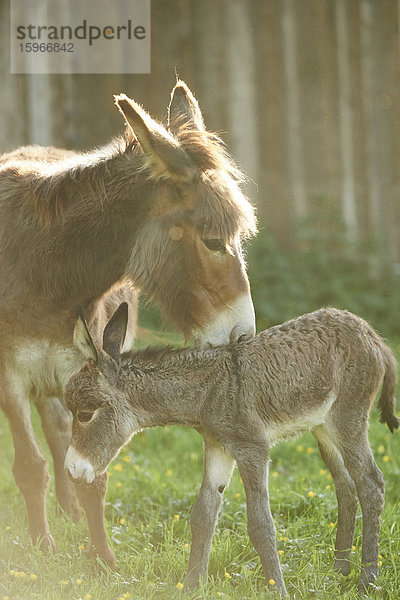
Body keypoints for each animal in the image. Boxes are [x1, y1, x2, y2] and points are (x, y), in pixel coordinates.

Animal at [64, 304, 398, 596]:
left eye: (85, 415)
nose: (71, 470)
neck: (207, 390)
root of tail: (371, 333)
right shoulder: (217, 447)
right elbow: (203, 515)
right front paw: (192, 587)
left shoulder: (252, 448)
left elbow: (260, 524)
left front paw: (278, 591)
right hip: (323, 429)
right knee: (346, 485)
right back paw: (341, 569)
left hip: (347, 418)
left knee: (371, 483)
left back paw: (368, 580)